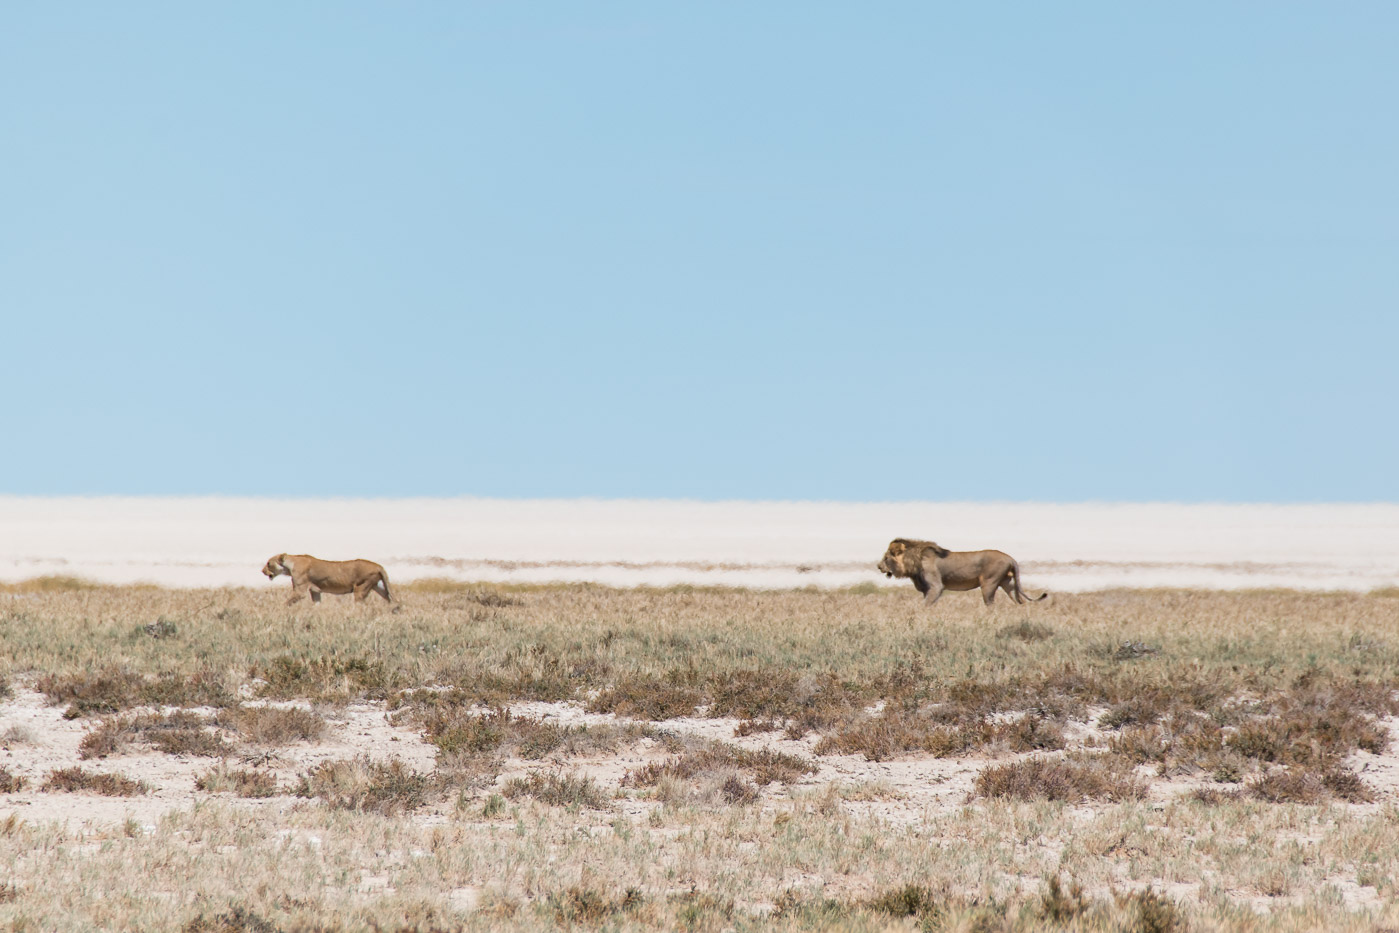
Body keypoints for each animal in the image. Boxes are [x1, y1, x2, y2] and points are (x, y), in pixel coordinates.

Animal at [261, 553, 394, 607]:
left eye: (268, 563)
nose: (262, 571)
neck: (289, 566)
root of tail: (378, 566)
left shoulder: (300, 591)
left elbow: (286, 602)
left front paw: (278, 609)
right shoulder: (315, 591)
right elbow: (317, 604)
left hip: (361, 588)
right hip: (378, 587)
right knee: (391, 600)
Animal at [878, 539, 1046, 607]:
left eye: (886, 558)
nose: (878, 566)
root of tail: (1011, 558)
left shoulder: (935, 586)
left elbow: (924, 604)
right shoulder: (927, 589)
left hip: (989, 584)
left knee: (991, 604)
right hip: (1008, 583)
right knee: (1019, 601)